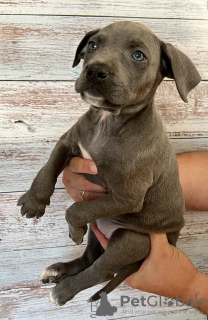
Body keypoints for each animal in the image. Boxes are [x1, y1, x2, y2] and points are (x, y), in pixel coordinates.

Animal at [17, 21, 200, 304]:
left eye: (138, 55)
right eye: (93, 45)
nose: (95, 70)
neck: (107, 121)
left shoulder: (126, 198)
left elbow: (75, 209)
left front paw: (73, 230)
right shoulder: (68, 142)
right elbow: (48, 167)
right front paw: (33, 202)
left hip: (131, 239)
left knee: (101, 269)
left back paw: (63, 290)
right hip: (98, 228)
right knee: (91, 259)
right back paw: (58, 271)